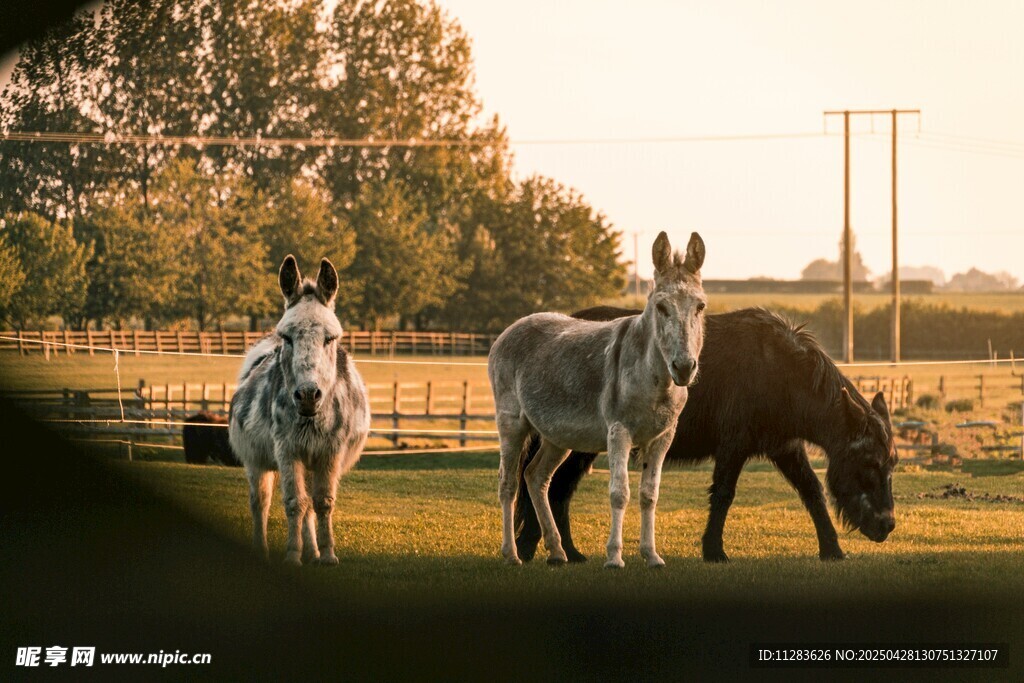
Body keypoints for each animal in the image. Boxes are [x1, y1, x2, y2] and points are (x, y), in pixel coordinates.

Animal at [229, 255, 370, 566]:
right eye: (288, 337)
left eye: (330, 338)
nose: (307, 396)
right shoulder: (288, 450)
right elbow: (294, 503)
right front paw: (293, 555)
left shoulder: (330, 451)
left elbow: (322, 503)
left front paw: (327, 554)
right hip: (256, 461)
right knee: (260, 502)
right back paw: (262, 550)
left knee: (309, 505)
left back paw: (313, 551)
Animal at [489, 231, 707, 568]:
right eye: (661, 307)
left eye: (700, 306)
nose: (683, 368)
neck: (653, 377)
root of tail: (513, 327)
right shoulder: (619, 431)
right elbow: (620, 492)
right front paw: (614, 558)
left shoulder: (662, 438)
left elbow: (649, 494)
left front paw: (652, 555)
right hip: (512, 423)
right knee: (508, 483)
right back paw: (511, 555)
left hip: (557, 436)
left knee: (536, 477)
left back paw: (557, 552)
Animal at [514, 306, 898, 563]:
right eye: (868, 462)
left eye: (891, 465)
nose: (887, 526)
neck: (779, 372)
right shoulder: (734, 445)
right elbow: (724, 494)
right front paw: (714, 550)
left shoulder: (785, 447)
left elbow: (812, 492)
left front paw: (832, 549)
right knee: (551, 486)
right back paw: (540, 547)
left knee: (554, 488)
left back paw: (561, 550)